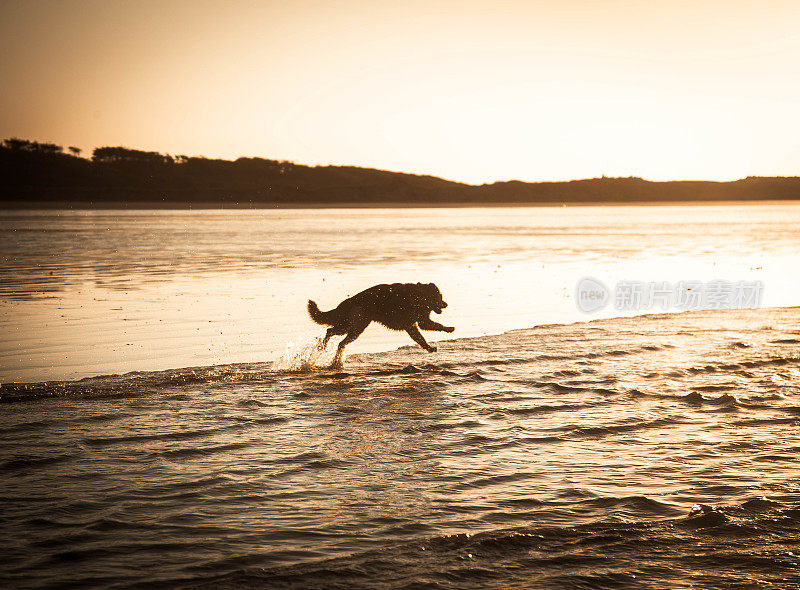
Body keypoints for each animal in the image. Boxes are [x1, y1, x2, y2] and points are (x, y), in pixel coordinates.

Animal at [308, 284, 454, 366]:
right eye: (440, 297)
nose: (446, 304)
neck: (418, 294)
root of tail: (350, 300)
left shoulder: (413, 325)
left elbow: (422, 337)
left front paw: (429, 347)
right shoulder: (417, 323)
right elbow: (435, 327)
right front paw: (448, 329)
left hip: (349, 324)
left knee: (330, 331)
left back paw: (323, 348)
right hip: (356, 327)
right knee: (338, 339)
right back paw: (333, 356)